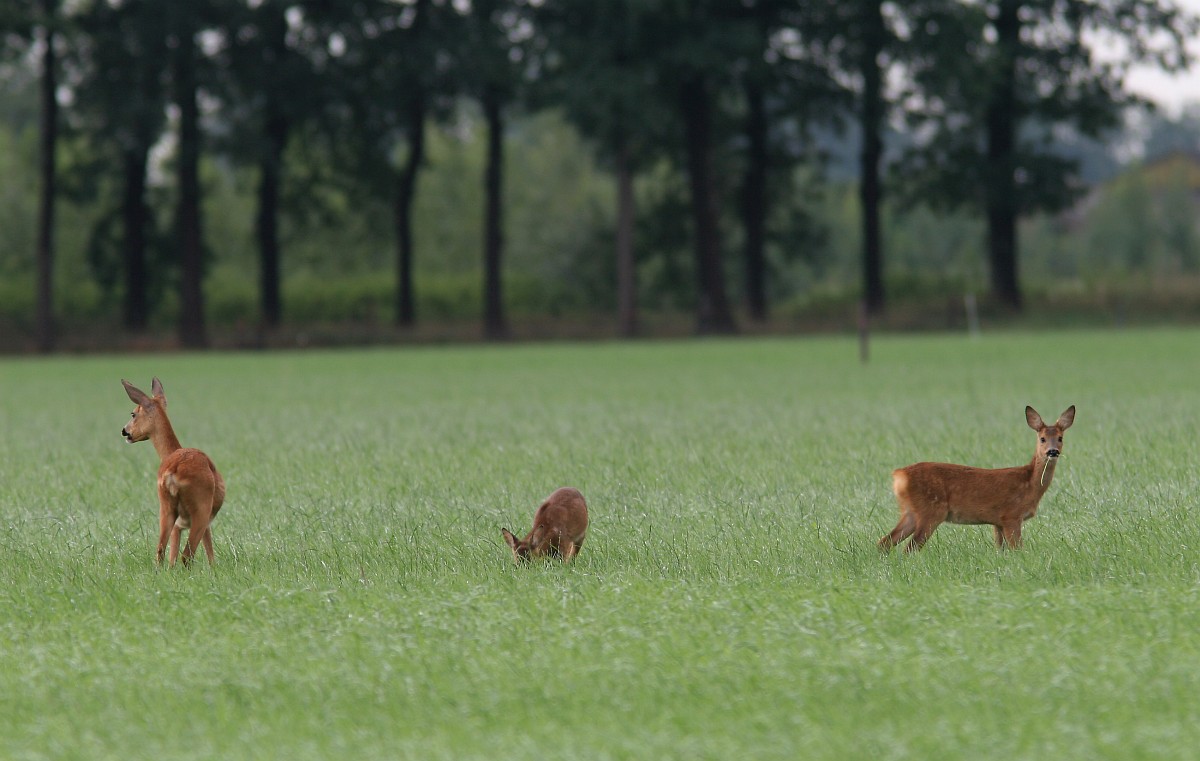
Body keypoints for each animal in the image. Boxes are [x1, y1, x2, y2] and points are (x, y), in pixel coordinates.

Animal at [121, 377, 226, 567]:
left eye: (133, 414)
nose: (125, 431)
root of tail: (173, 471)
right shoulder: (202, 521)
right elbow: (209, 552)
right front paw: (214, 569)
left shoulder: (178, 525)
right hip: (201, 508)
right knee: (187, 555)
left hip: (165, 506)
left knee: (160, 552)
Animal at [879, 405, 1075, 552]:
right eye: (1042, 439)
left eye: (1060, 438)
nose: (1052, 451)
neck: (1029, 484)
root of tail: (899, 475)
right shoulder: (1011, 515)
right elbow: (1018, 549)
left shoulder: (997, 522)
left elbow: (1002, 550)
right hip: (931, 510)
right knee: (909, 548)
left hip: (910, 511)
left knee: (885, 542)